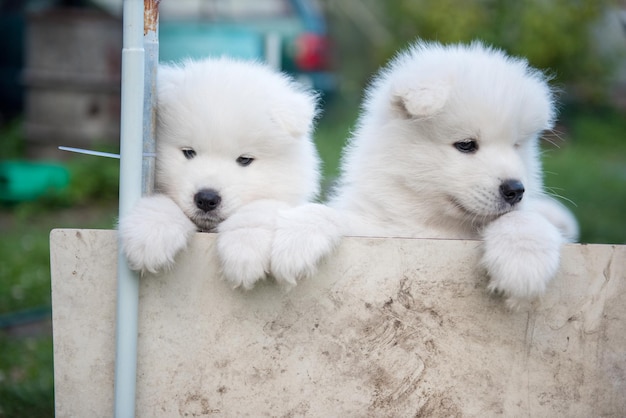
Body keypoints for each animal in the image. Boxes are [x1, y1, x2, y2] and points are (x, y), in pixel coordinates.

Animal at [117, 57, 322, 290]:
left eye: (244, 159)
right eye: (189, 152)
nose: (206, 199)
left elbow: (260, 208)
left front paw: (244, 249)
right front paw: (151, 232)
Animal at [262, 40, 576, 306]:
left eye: (516, 146)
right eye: (466, 145)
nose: (515, 190)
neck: (435, 226)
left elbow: (523, 219)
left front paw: (523, 264)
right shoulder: (379, 228)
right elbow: (332, 214)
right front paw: (296, 237)